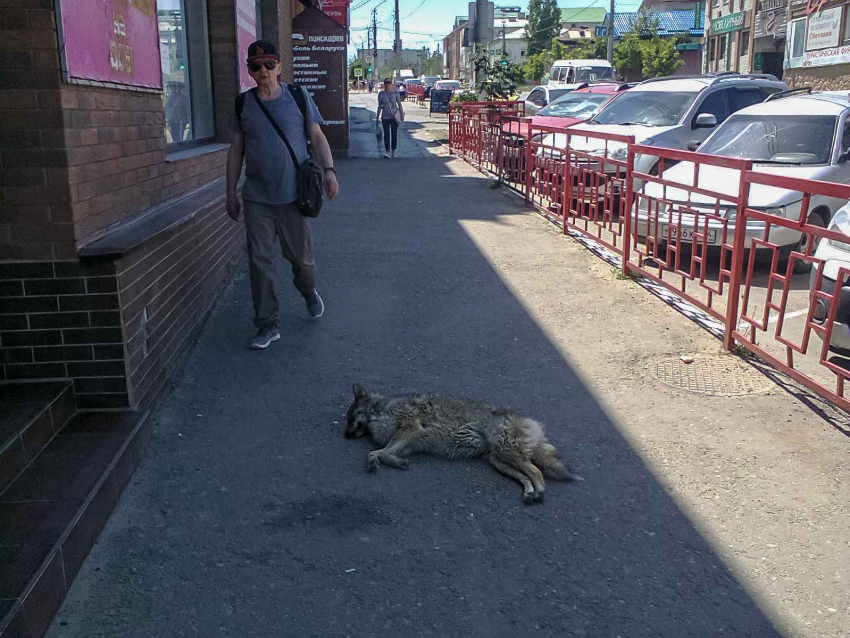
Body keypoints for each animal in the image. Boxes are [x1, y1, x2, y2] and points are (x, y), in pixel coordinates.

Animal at [342, 384, 580, 504]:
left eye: (350, 418)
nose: (345, 436)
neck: (379, 410)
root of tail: (530, 422)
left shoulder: (410, 429)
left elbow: (379, 452)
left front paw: (385, 460)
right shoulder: (407, 442)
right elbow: (381, 453)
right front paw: (392, 461)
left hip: (507, 454)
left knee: (536, 472)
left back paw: (539, 492)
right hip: (500, 462)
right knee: (525, 477)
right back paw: (530, 492)